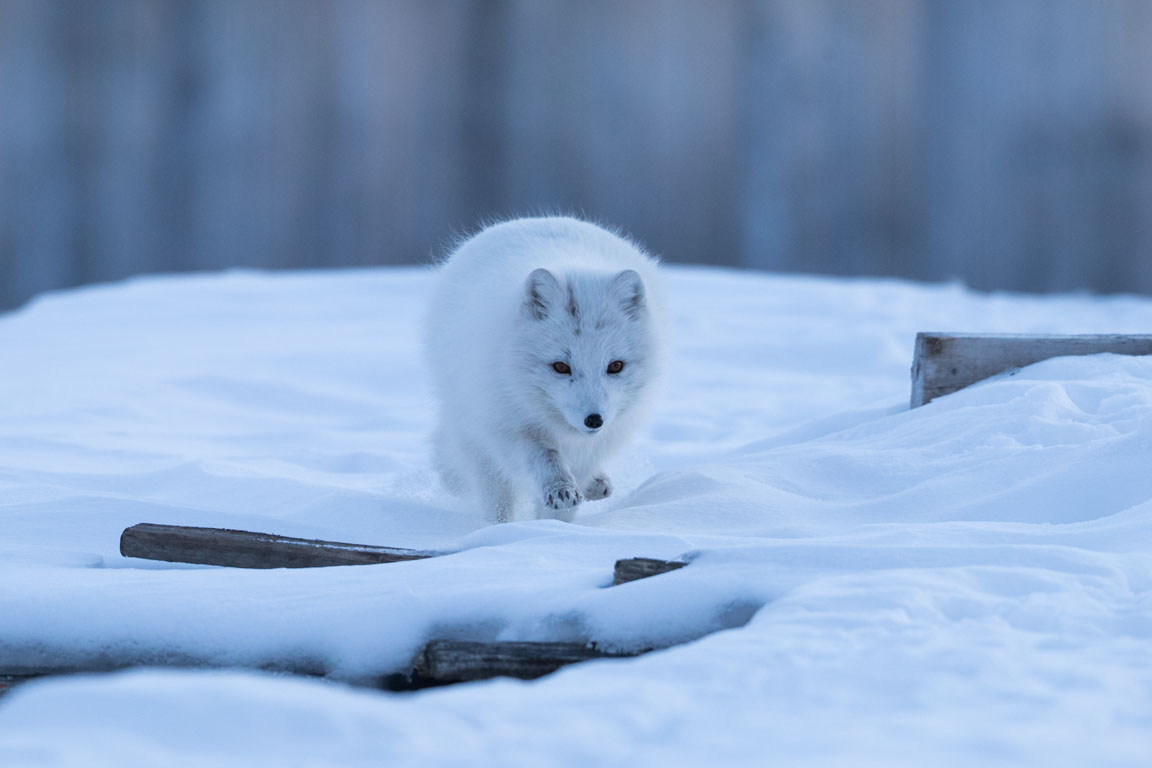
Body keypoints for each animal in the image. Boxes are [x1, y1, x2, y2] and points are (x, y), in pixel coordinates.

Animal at [426, 218, 668, 525]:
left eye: (615, 366)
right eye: (561, 367)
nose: (594, 420)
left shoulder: (598, 442)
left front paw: (554, 527)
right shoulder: (507, 427)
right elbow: (544, 459)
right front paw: (555, 499)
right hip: (474, 431)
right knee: (495, 491)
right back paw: (497, 525)